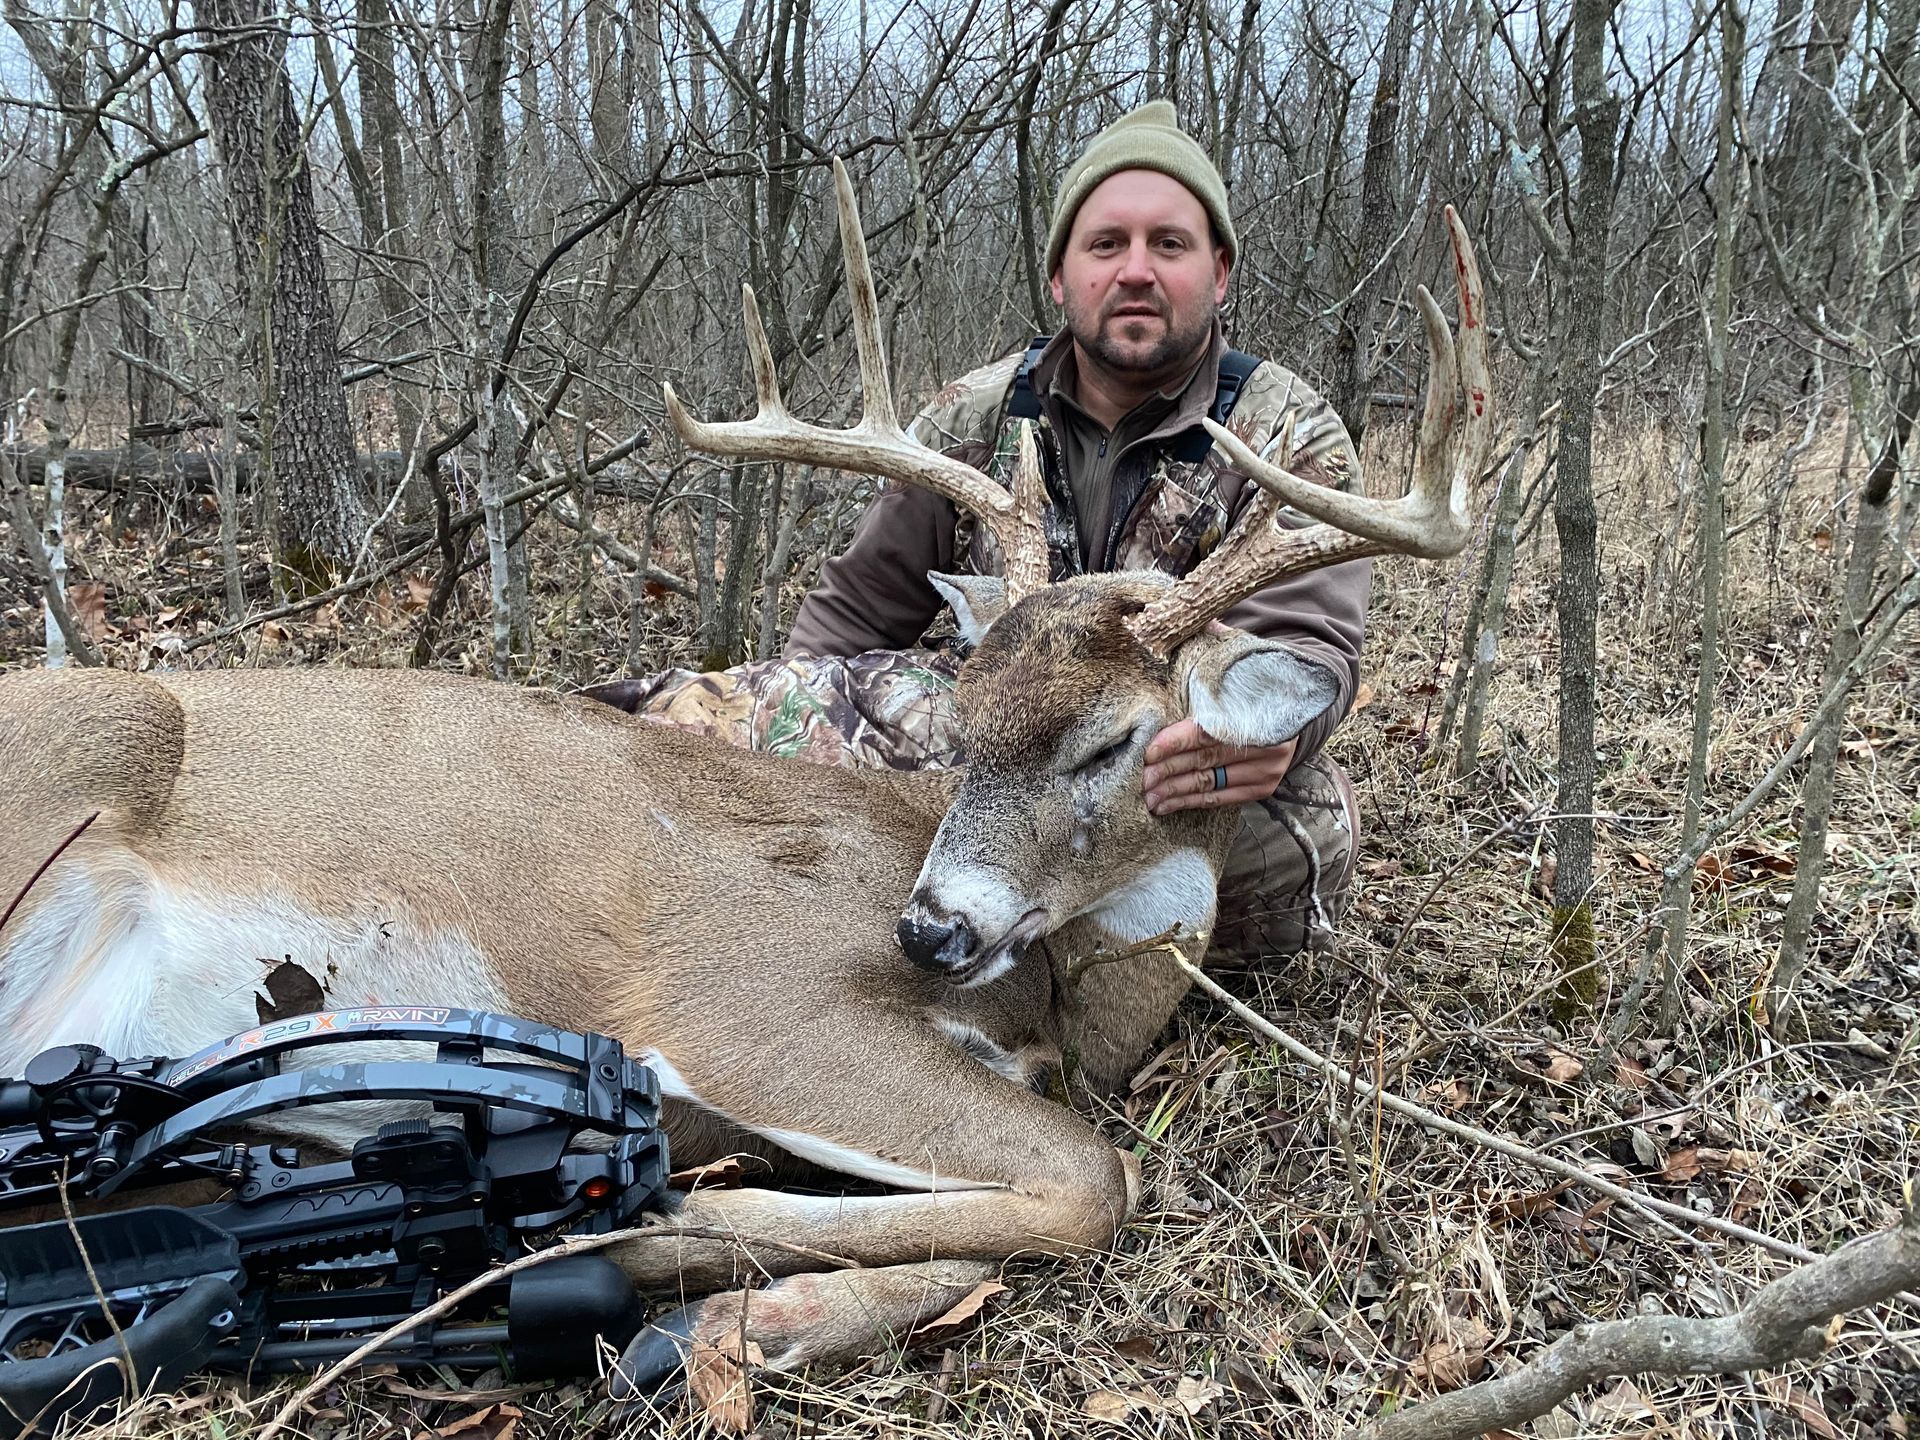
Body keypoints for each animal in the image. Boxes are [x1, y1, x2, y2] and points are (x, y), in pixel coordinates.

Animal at [0, 161, 1489, 1395]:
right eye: (964, 717)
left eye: (1111, 741)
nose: (930, 928)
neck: (1049, 999)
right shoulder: (743, 1003)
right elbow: (1090, 1181)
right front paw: (663, 1248)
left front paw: (721, 1317)